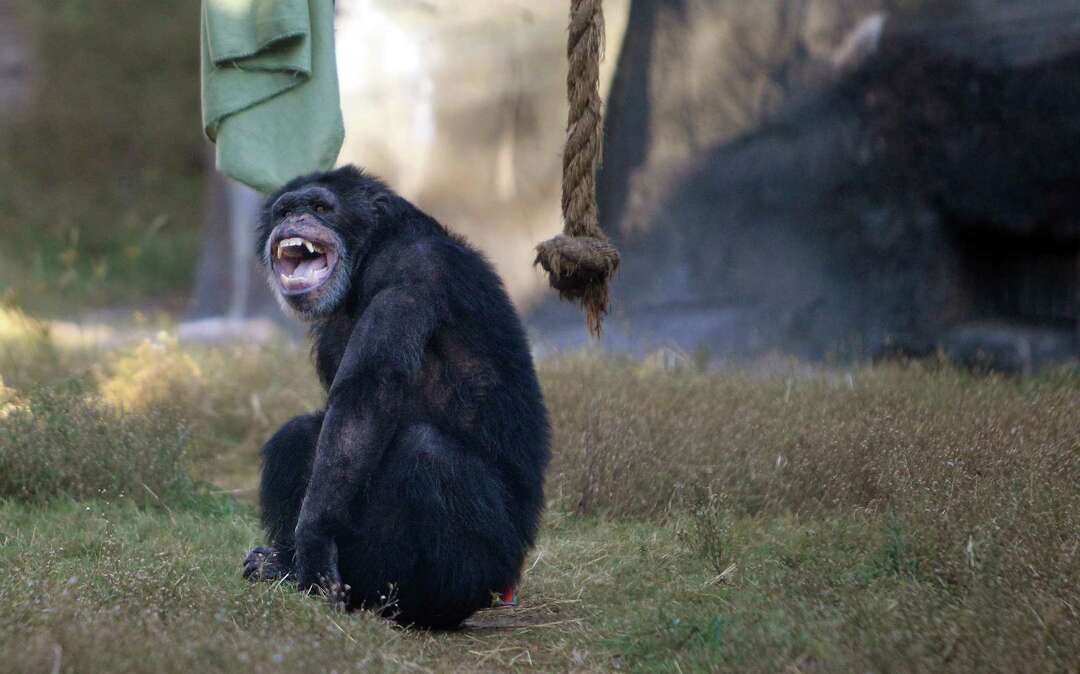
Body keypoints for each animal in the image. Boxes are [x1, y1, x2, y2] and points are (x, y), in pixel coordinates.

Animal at [241, 166, 552, 630]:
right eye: (284, 209)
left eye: (319, 207)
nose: (294, 220)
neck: (367, 257)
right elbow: (340, 420)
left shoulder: (415, 272)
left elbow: (365, 397)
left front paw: (313, 540)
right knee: (300, 433)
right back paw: (283, 568)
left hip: (491, 568)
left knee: (427, 452)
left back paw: (422, 608)